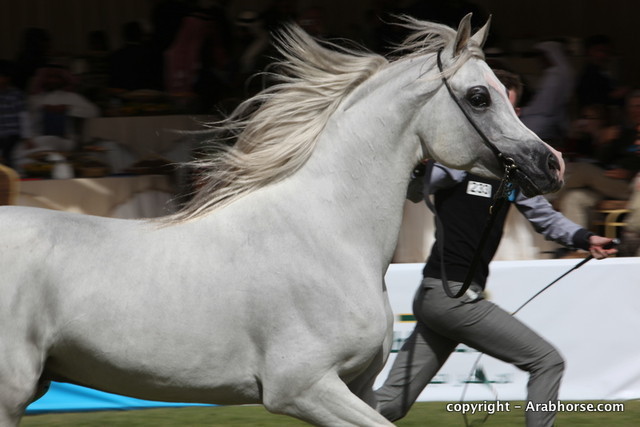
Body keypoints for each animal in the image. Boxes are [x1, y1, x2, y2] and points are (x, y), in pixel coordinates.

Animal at [0, 14, 564, 426]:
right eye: (479, 96)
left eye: (501, 90)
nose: (551, 163)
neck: (329, 236)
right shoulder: (303, 387)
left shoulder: (357, 386)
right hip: (12, 391)